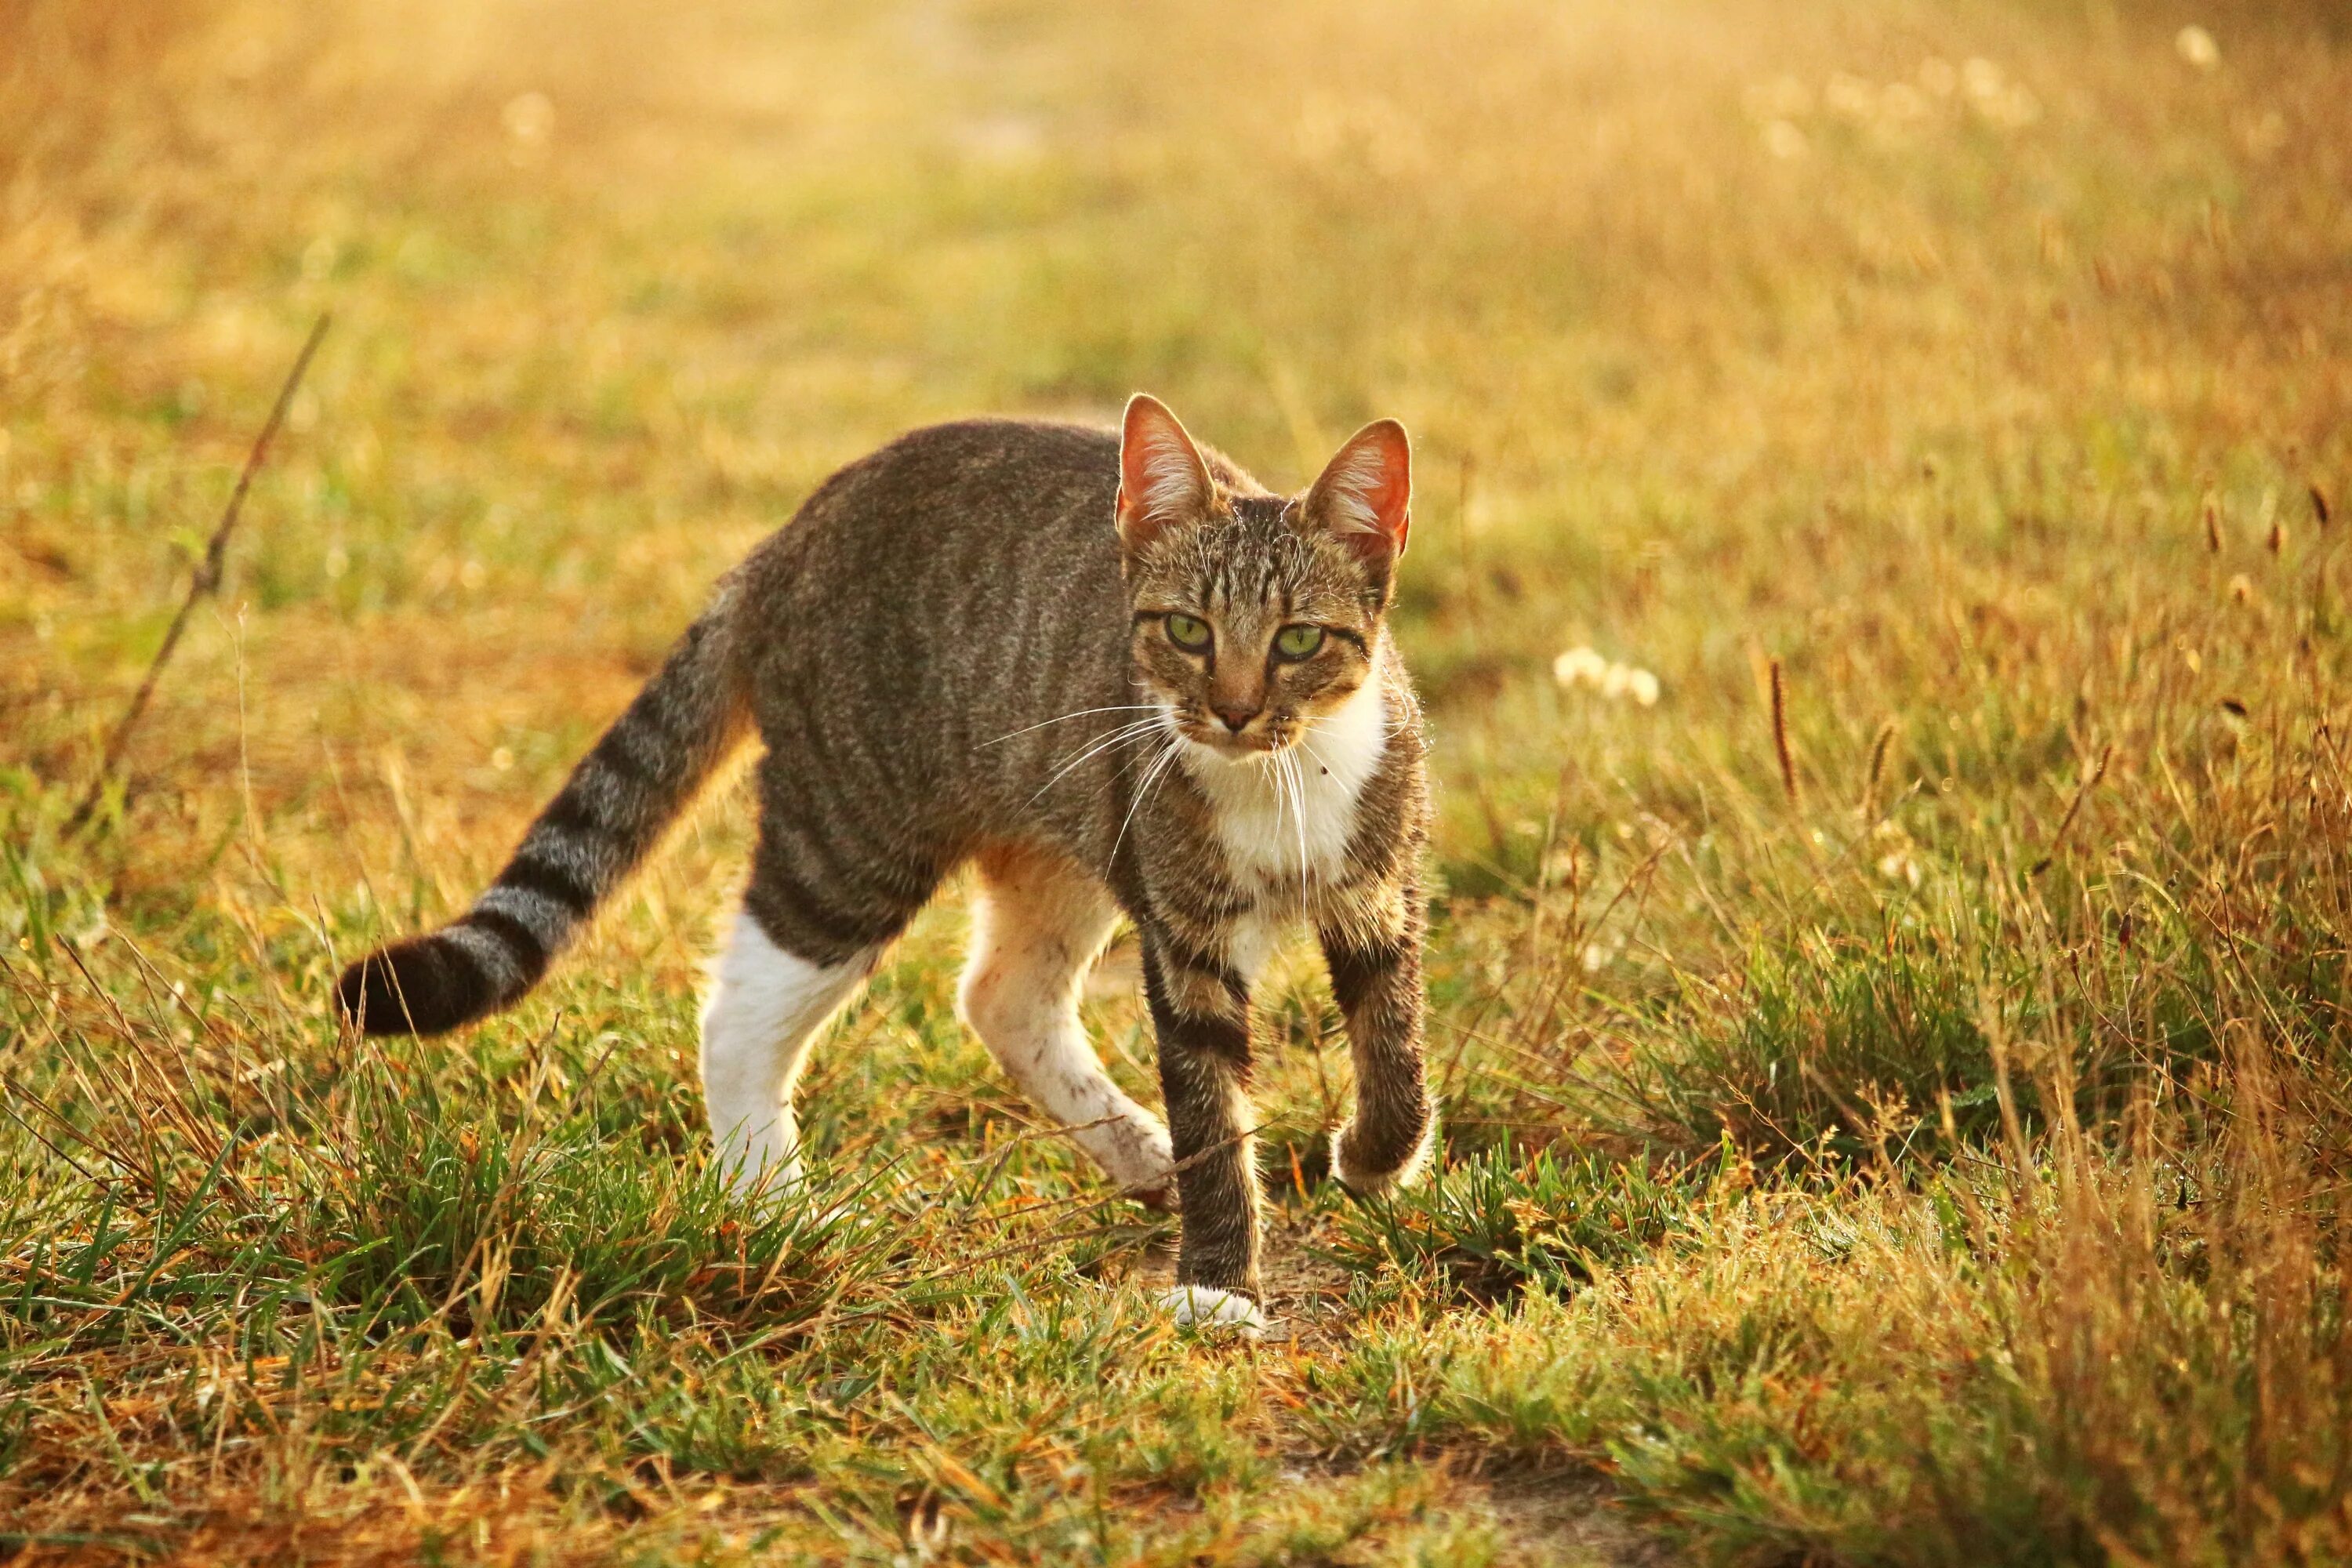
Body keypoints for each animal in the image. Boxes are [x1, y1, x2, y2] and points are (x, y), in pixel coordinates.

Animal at [332, 399, 1430, 1335]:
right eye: (1187, 631)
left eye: (1299, 639)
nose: (1234, 711)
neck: (1280, 780)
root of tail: (788, 538)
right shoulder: (1183, 933)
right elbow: (1212, 1110)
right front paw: (1218, 1288)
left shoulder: (1381, 894)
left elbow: (1397, 1049)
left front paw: (1375, 1160)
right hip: (847, 843)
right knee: (740, 1017)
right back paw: (776, 1209)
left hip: (1060, 838)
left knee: (1002, 995)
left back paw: (1132, 1148)